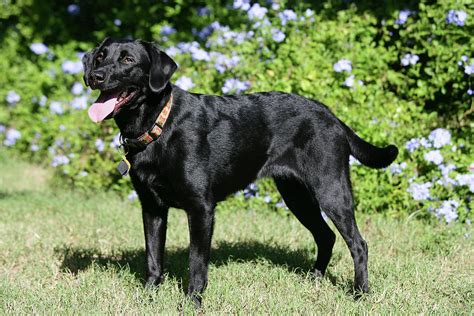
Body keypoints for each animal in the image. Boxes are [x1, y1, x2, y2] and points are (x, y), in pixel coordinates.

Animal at [83, 37, 398, 306]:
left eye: (127, 59)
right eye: (100, 56)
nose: (95, 76)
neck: (158, 126)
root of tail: (331, 115)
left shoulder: (201, 208)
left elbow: (196, 263)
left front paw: (192, 302)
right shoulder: (151, 207)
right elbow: (153, 258)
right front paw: (148, 297)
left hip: (331, 189)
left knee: (358, 243)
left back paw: (360, 293)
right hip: (296, 195)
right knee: (325, 236)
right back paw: (314, 279)